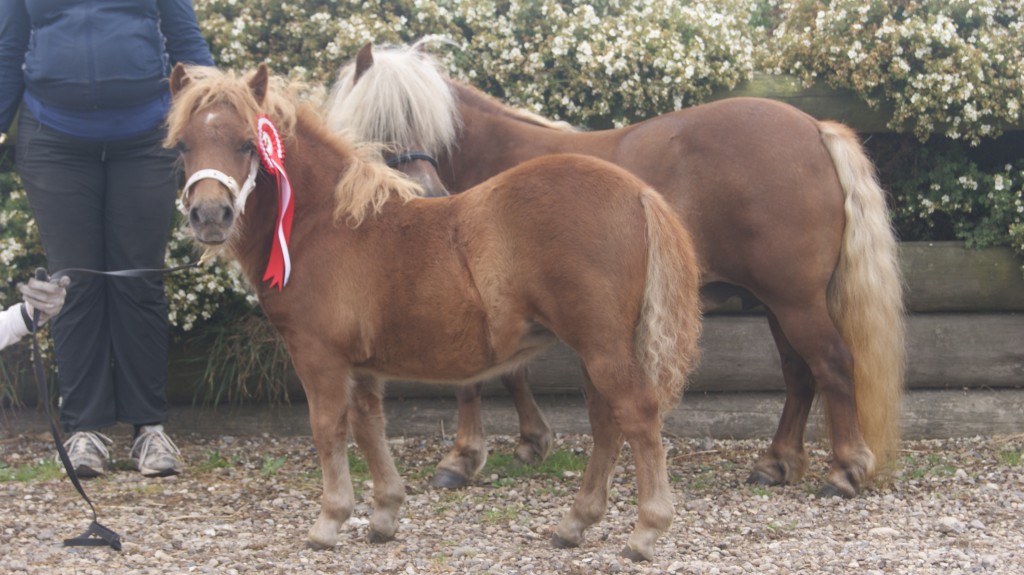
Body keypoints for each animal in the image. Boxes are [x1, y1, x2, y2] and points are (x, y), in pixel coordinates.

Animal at [325, 41, 905, 497]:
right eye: (377, 123)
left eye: (425, 122)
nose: (424, 193)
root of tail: (813, 126)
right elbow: (507, 372)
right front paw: (530, 442)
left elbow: (473, 380)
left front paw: (462, 459)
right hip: (775, 303)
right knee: (799, 375)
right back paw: (776, 463)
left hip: (794, 301)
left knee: (832, 364)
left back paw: (844, 471)